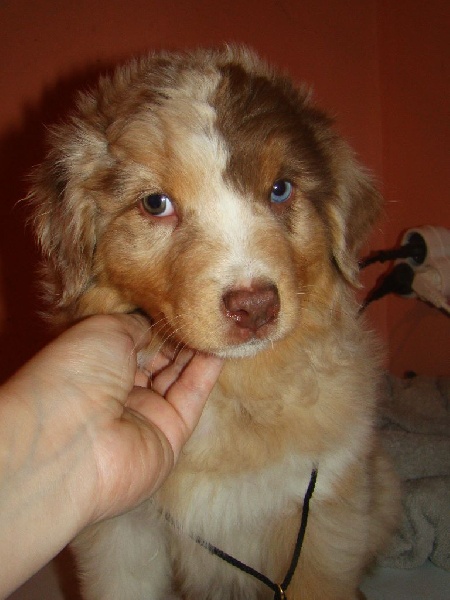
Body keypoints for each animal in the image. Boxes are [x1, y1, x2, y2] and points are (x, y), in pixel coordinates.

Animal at [30, 46, 399, 600]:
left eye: (280, 190)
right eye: (155, 203)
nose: (255, 306)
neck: (232, 393)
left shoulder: (322, 514)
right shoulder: (123, 534)